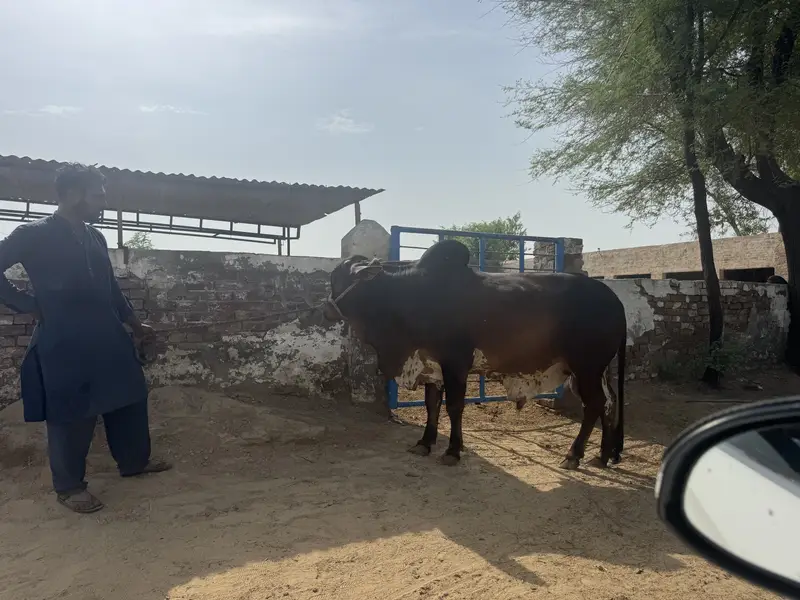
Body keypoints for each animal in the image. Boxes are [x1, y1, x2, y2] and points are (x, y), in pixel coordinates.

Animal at [323, 239, 627, 470]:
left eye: (338, 279)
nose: (324, 309)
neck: (409, 298)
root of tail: (614, 299)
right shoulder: (431, 365)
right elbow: (431, 405)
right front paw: (425, 443)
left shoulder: (455, 362)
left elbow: (454, 406)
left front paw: (452, 451)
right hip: (591, 371)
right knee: (609, 402)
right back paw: (602, 456)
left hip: (586, 367)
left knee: (595, 404)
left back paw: (573, 455)